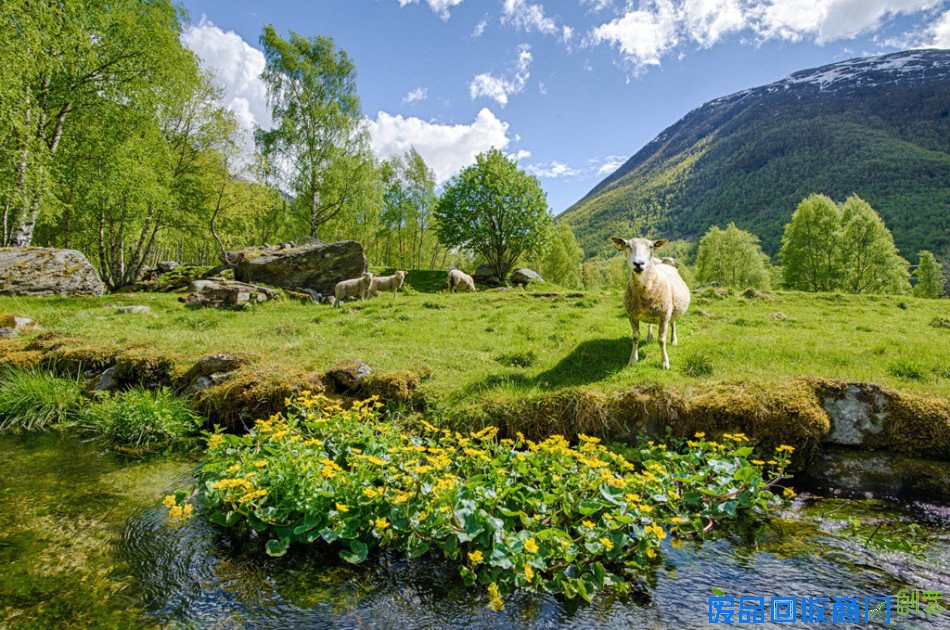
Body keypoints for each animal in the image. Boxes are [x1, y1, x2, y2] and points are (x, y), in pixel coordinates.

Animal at [608, 236, 692, 370]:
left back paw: (673, 340)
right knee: (650, 324)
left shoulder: (664, 316)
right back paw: (649, 336)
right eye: (627, 246)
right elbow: (635, 337)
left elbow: (661, 340)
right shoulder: (632, 316)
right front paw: (633, 359)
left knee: (673, 323)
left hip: (673, 309)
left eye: (651, 247)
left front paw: (665, 362)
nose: (638, 263)